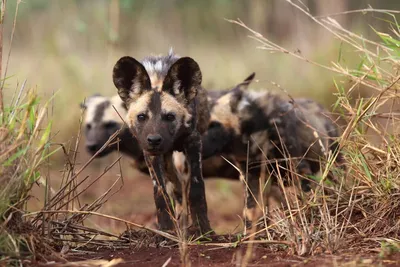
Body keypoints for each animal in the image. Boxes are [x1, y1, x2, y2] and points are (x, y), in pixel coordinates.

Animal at [111, 50, 212, 234]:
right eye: (142, 117)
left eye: (170, 117)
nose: (154, 140)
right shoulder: (151, 154)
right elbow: (161, 194)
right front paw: (166, 229)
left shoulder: (193, 142)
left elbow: (196, 188)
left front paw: (204, 229)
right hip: (165, 160)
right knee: (177, 188)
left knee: (183, 186)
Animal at [203, 73, 344, 228]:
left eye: (213, 125)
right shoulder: (252, 181)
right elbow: (251, 216)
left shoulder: (300, 172)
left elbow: (307, 203)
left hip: (334, 164)